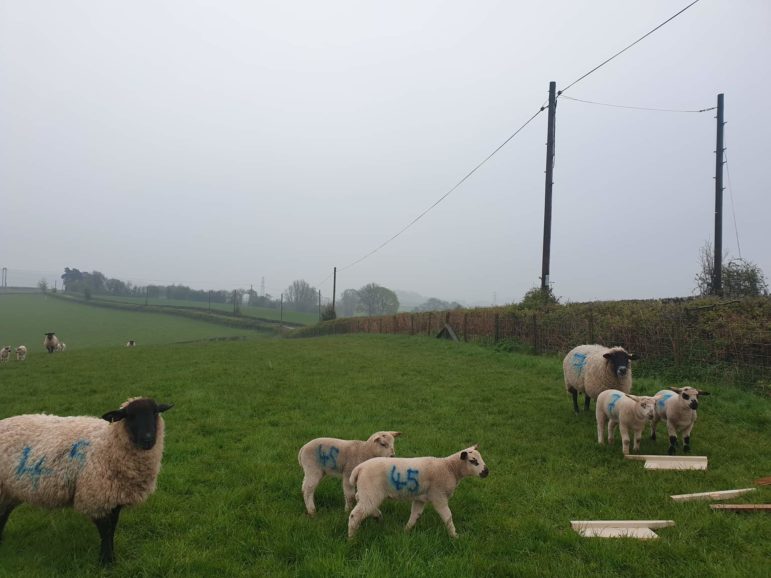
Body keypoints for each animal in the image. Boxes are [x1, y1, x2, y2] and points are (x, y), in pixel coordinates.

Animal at [0, 396, 174, 564]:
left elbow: (112, 528)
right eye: (130, 416)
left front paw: (111, 557)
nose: (148, 439)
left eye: (155, 413)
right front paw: (106, 561)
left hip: (9, 492)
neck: (108, 444)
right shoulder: (95, 497)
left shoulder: (114, 497)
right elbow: (105, 531)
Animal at [348, 444, 488, 536]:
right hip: (371, 492)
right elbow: (447, 516)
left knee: (358, 498)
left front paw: (406, 531)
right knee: (356, 514)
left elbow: (415, 515)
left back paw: (377, 515)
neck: (450, 468)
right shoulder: (439, 496)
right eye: (473, 461)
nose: (486, 472)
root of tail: (359, 468)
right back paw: (352, 539)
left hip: (367, 490)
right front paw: (454, 536)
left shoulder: (420, 498)